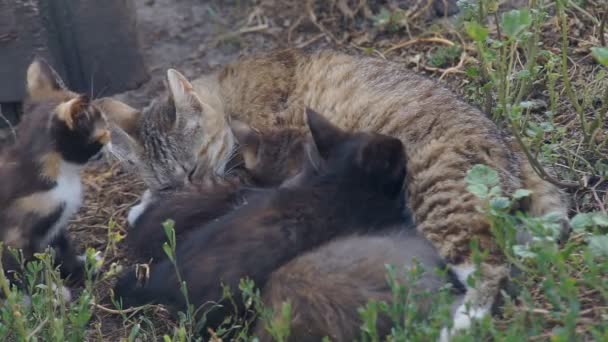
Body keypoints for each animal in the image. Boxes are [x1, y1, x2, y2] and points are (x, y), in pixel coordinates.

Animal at [1, 58, 110, 286]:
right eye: (103, 131)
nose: (111, 137)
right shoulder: (13, 237)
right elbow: (23, 269)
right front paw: (49, 291)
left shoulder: (55, 228)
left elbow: (62, 248)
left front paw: (82, 268)